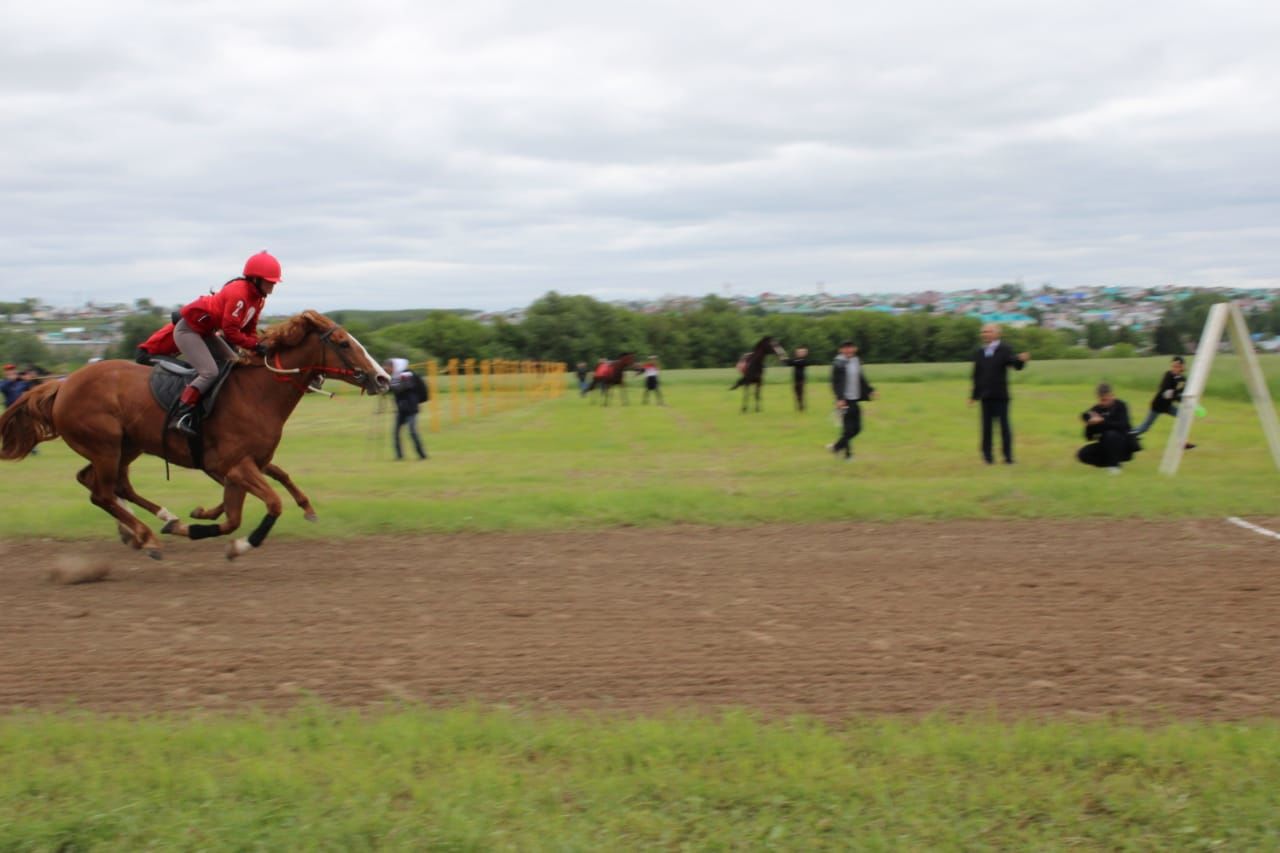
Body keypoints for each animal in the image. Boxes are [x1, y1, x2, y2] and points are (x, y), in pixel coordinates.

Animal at [0, 308, 389, 560]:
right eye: (343, 342)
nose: (383, 377)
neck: (258, 392)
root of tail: (61, 385)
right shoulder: (237, 465)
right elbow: (266, 505)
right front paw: (241, 544)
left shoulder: (246, 465)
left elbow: (261, 491)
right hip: (105, 445)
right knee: (102, 493)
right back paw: (147, 537)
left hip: (126, 446)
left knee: (108, 484)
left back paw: (159, 521)